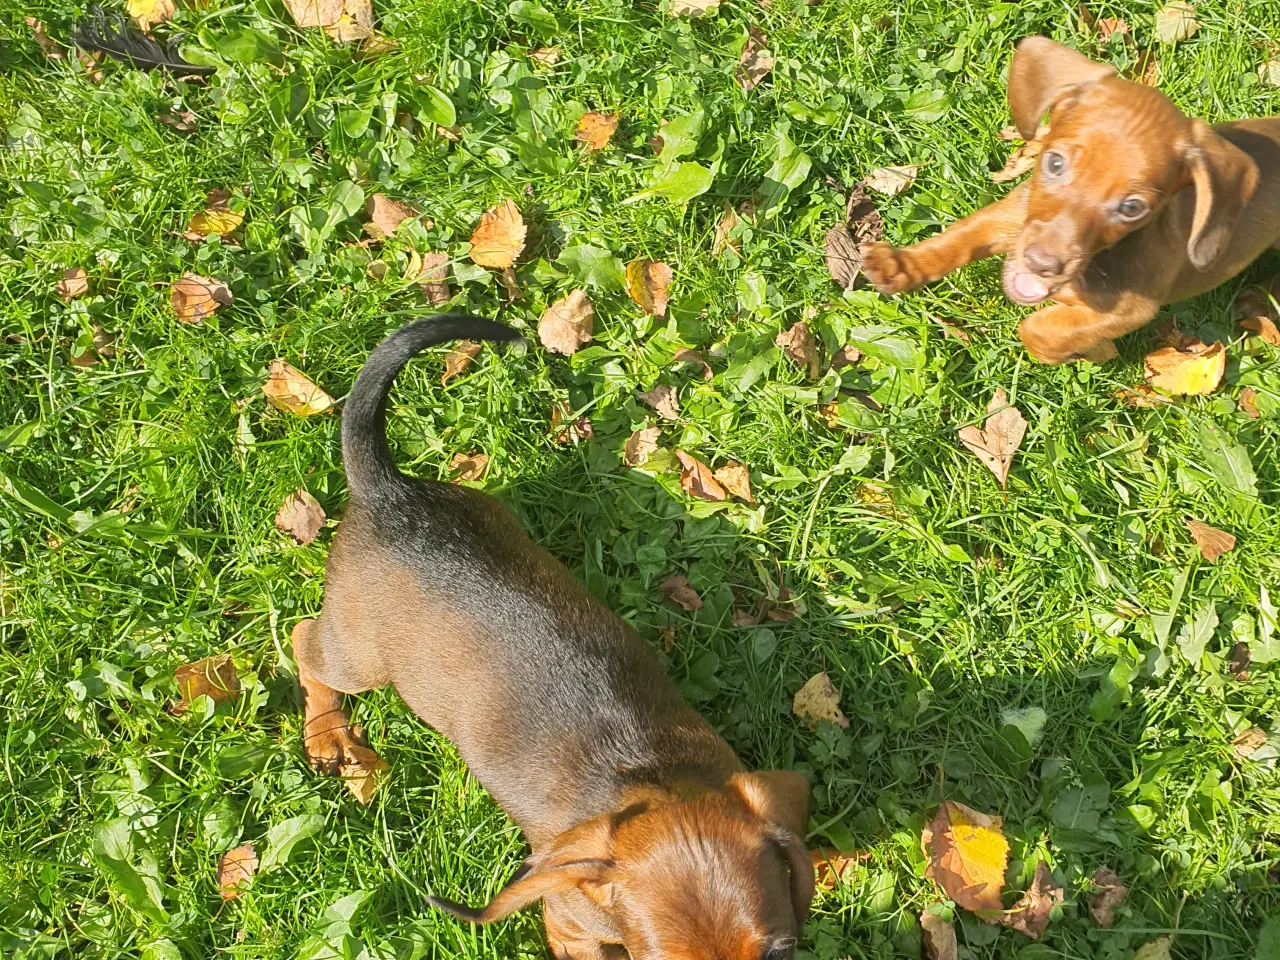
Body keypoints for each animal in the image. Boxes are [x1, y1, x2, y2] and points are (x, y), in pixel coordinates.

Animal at [293, 312, 808, 957]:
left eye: (781, 950)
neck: (656, 778)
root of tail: (388, 492)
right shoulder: (570, 929)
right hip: (357, 656)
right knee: (302, 640)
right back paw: (325, 731)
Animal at [860, 35, 1280, 363]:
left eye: (1132, 208)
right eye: (1055, 162)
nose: (1042, 265)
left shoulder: (1129, 309)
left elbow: (1039, 328)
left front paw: (1068, 350)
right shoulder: (1010, 217)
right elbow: (957, 238)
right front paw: (902, 264)